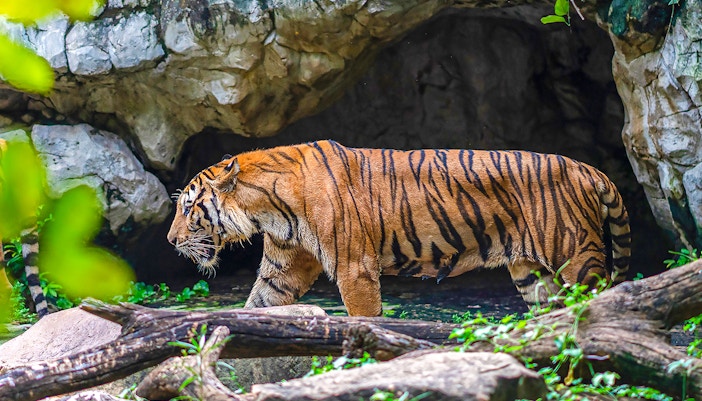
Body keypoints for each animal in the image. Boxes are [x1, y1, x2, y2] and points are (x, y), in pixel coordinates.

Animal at [168, 140, 631, 316]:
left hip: (576, 259)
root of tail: (587, 169)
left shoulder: (354, 267)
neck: (267, 208)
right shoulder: (285, 268)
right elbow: (259, 304)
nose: (171, 240)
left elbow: (364, 318)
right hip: (531, 274)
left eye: (189, 207)